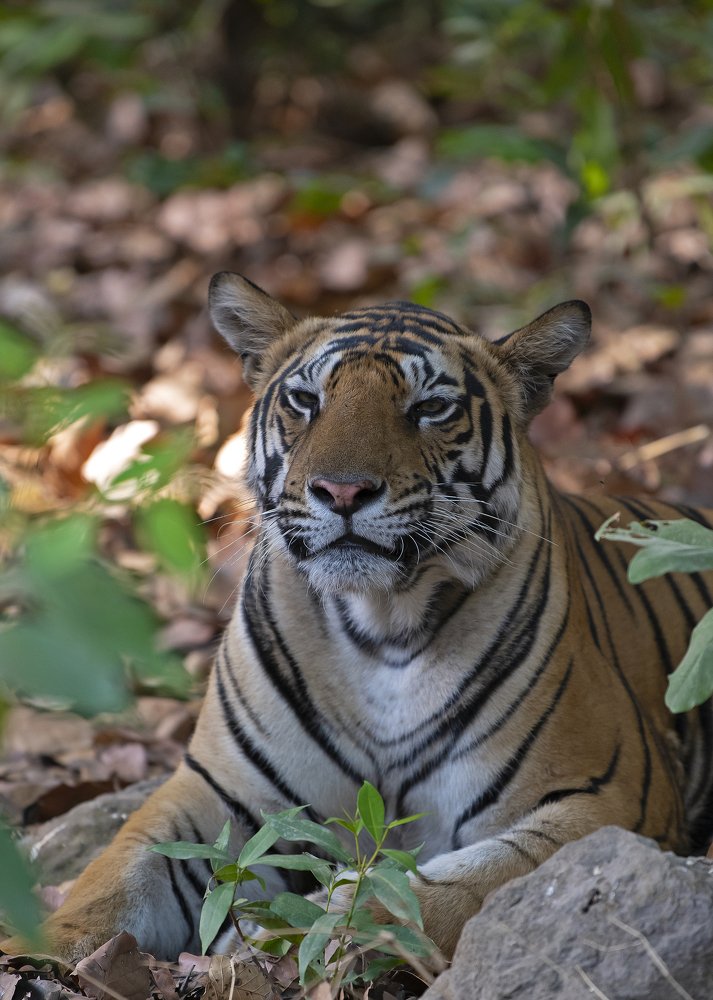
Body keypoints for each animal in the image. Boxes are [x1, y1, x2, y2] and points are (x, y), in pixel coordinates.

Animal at [4, 273, 713, 965]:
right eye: (305, 400)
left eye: (430, 408)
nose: (342, 491)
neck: (382, 627)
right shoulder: (216, 794)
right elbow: (115, 882)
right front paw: (40, 953)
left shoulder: (604, 802)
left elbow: (431, 892)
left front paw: (281, 938)